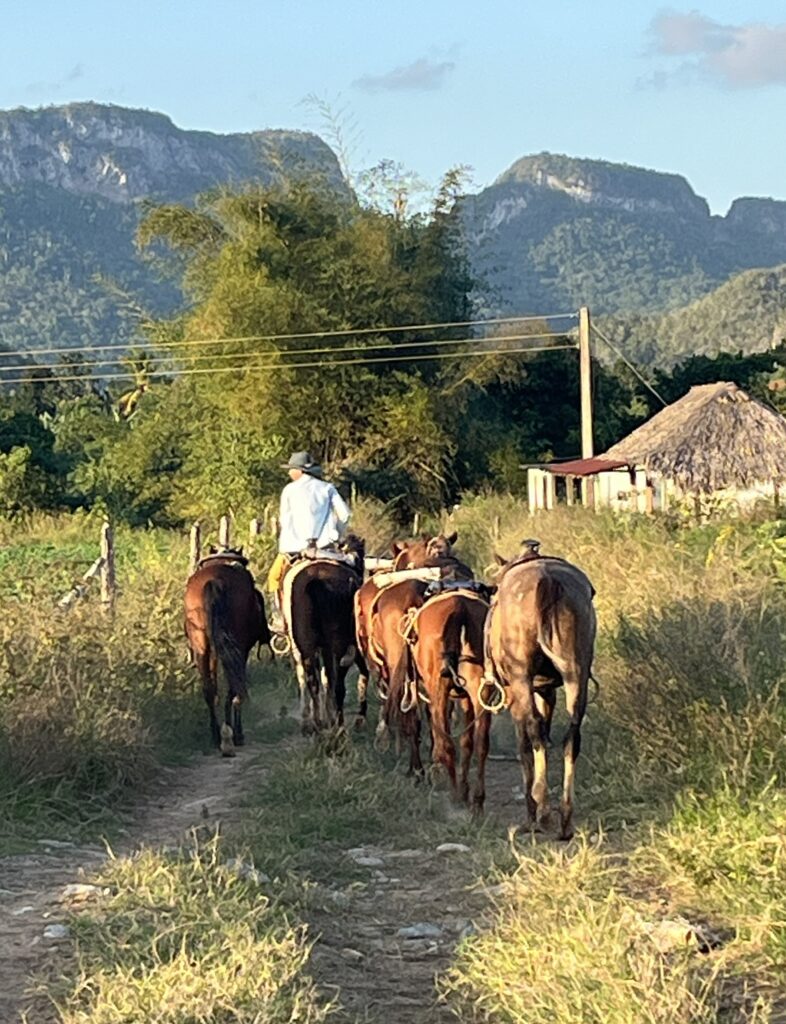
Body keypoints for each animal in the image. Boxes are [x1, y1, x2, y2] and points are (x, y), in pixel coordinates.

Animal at [184, 548, 271, 756]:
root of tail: (213, 581)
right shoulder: (242, 650)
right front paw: (237, 733)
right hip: (235, 647)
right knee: (233, 685)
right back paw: (230, 736)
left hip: (201, 645)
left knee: (208, 689)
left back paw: (216, 736)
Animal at [284, 535, 365, 735]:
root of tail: (315, 581)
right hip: (336, 644)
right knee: (333, 681)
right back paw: (333, 722)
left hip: (304, 644)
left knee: (310, 679)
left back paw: (315, 723)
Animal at [409, 585, 495, 812]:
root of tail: (459, 608)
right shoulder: (467, 699)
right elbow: (467, 741)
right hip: (481, 690)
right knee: (481, 744)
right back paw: (476, 800)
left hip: (438, 688)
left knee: (446, 743)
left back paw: (455, 795)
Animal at [486, 547, 596, 839]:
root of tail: (548, 581)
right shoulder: (546, 690)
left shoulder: (517, 693)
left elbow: (525, 744)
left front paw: (530, 813)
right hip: (576, 674)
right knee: (572, 736)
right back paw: (565, 816)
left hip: (521, 676)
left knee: (533, 730)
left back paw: (543, 809)